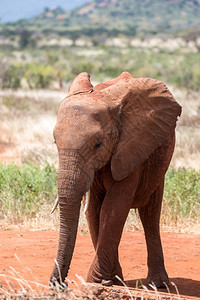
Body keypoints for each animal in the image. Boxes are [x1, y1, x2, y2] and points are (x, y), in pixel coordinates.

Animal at [49, 72, 181, 288]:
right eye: (55, 142)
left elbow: (113, 207)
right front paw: (107, 280)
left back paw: (157, 284)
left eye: (98, 144)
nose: (61, 284)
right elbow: (94, 210)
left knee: (150, 214)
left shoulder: (130, 147)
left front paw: (98, 280)